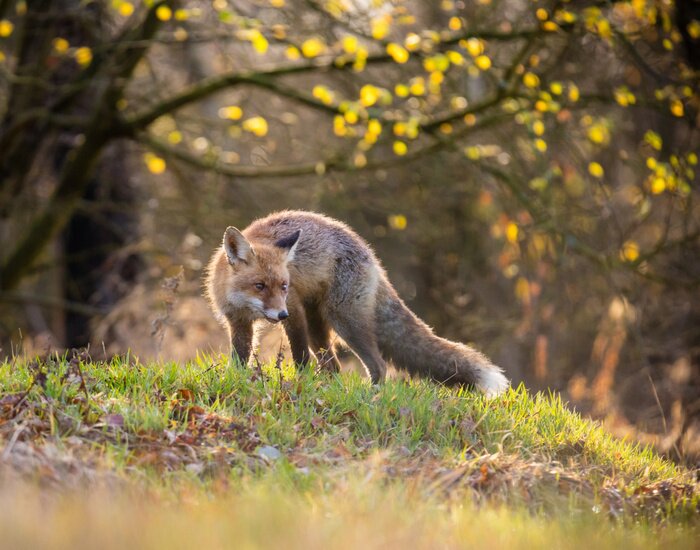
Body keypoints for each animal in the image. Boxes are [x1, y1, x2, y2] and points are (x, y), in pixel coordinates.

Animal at [205, 210, 509, 395]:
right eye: (260, 286)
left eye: (284, 286)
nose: (280, 314)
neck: (243, 303)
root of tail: (370, 254)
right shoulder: (238, 322)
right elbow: (240, 358)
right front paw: (236, 381)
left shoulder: (295, 313)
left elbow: (300, 358)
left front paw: (300, 384)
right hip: (320, 328)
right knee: (334, 366)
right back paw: (330, 388)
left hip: (344, 321)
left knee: (379, 365)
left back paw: (371, 395)